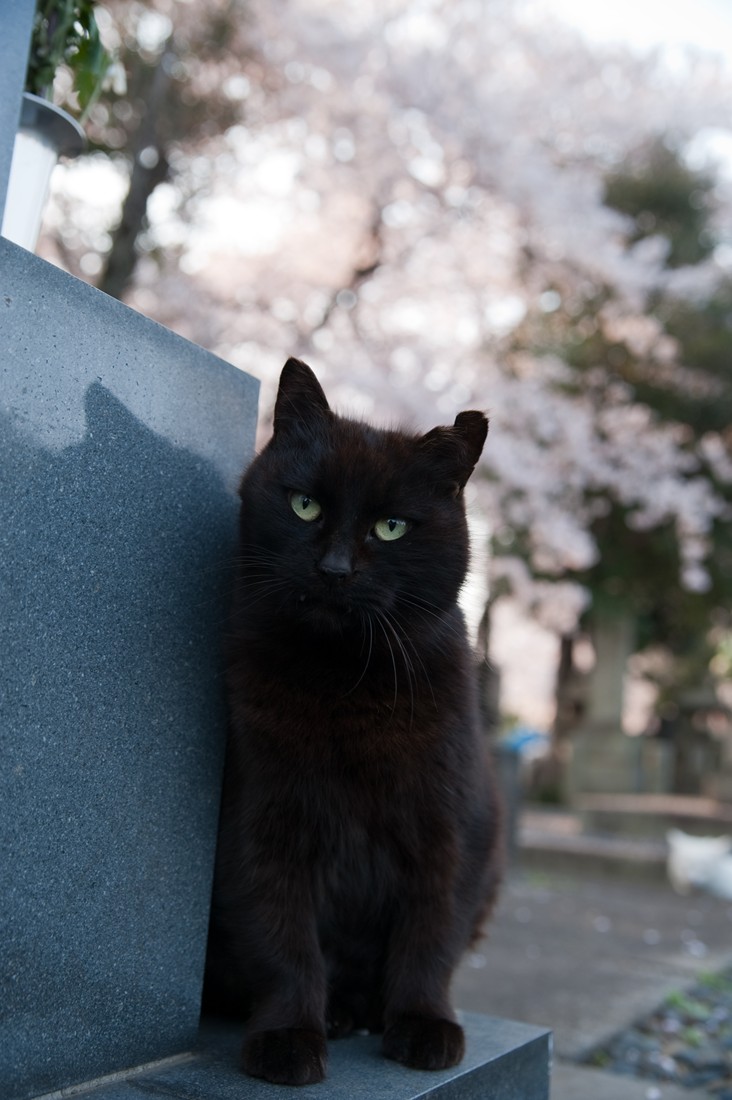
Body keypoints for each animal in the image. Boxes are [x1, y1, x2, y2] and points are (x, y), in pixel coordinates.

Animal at [205, 358, 501, 1082]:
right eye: (303, 505)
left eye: (391, 527)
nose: (334, 569)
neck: (348, 684)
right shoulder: (260, 822)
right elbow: (283, 941)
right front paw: (289, 1037)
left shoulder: (452, 830)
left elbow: (431, 936)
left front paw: (423, 1025)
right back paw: (336, 1015)